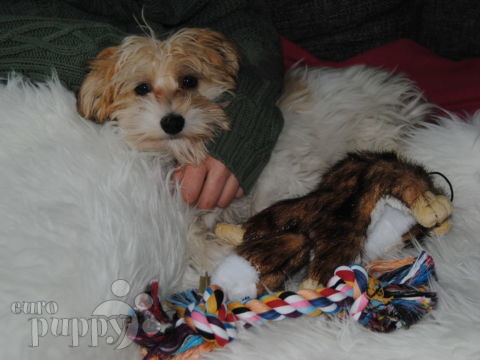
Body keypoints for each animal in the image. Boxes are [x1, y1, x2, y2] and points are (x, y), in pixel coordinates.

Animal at [78, 28, 432, 276]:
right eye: (141, 88)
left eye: (189, 81)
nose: (173, 121)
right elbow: (192, 238)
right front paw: (217, 254)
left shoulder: (285, 175)